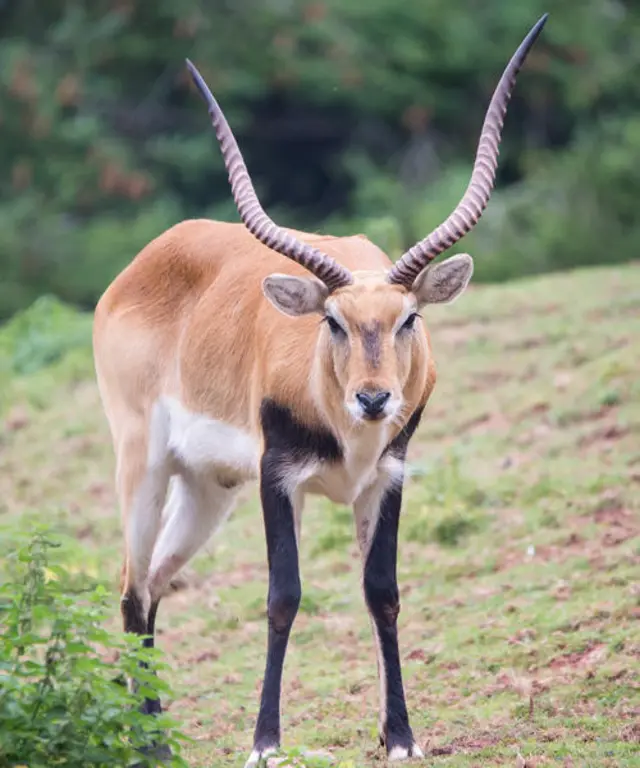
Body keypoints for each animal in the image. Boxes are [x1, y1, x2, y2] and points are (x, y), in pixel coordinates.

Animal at [95, 15, 552, 764]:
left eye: (409, 318)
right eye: (332, 321)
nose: (373, 399)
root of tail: (141, 264)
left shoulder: (386, 478)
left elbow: (382, 593)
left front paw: (399, 737)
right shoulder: (277, 477)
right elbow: (283, 596)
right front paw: (265, 743)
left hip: (208, 489)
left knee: (157, 581)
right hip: (145, 464)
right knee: (132, 587)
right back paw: (152, 744)